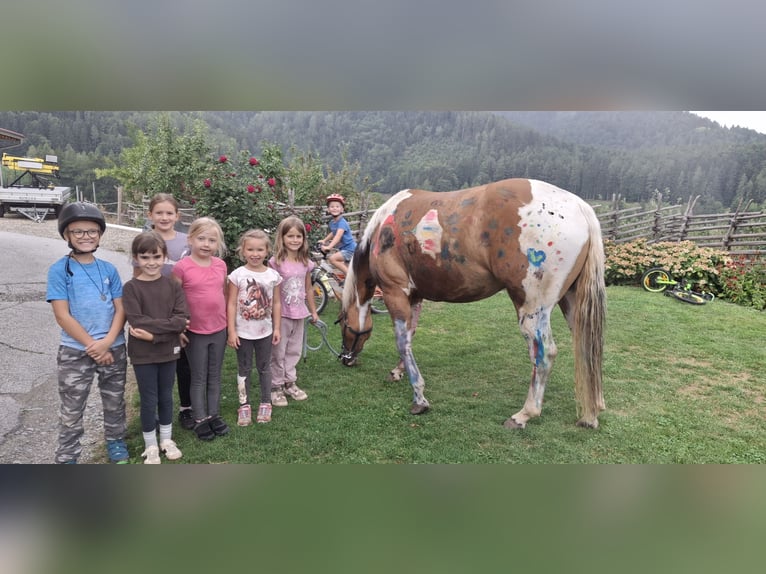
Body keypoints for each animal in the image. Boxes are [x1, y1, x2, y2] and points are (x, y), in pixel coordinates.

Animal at [338, 178, 606, 429]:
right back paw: (591, 413)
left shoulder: (394, 292)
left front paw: (419, 398)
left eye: (342, 325)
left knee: (544, 354)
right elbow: (410, 336)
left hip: (532, 309)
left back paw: (524, 414)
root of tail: (580, 207)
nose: (345, 358)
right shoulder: (414, 297)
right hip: (571, 304)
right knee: (587, 347)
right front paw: (399, 371)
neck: (384, 227)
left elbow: (402, 342)